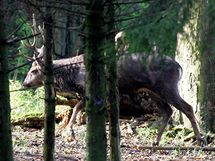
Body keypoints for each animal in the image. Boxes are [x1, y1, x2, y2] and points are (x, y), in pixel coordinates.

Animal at [22, 15, 204, 146]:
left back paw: (199, 140)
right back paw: (156, 141)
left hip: (168, 86)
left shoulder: (92, 88)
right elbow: (81, 107)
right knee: (167, 111)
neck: (74, 76)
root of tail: (179, 66)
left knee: (187, 107)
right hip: (153, 91)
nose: (25, 83)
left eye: (34, 70)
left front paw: (69, 133)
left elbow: (77, 107)